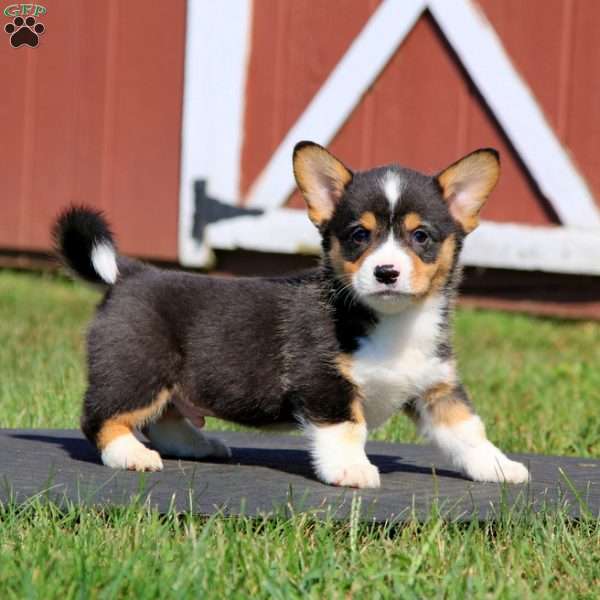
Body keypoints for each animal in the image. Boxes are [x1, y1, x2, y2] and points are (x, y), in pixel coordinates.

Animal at [52, 143, 528, 490]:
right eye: (359, 235)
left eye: (421, 236)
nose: (386, 272)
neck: (392, 321)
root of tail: (129, 274)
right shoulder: (324, 382)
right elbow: (347, 429)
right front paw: (352, 470)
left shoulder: (437, 388)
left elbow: (469, 431)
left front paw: (500, 467)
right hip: (139, 370)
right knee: (100, 417)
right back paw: (129, 454)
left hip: (167, 380)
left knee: (164, 418)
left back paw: (198, 444)